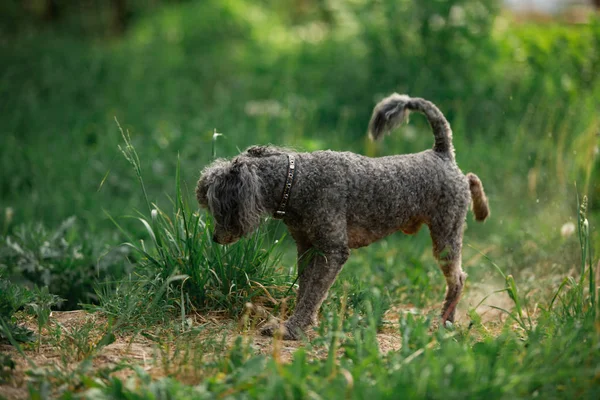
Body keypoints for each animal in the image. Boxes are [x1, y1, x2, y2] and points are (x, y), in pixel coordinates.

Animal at [196, 94, 488, 340]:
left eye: (219, 207)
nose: (215, 238)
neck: (296, 181)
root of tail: (442, 153)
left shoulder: (333, 251)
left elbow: (313, 292)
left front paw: (291, 328)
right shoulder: (307, 248)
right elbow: (306, 289)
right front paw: (302, 323)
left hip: (446, 234)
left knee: (458, 279)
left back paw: (445, 321)